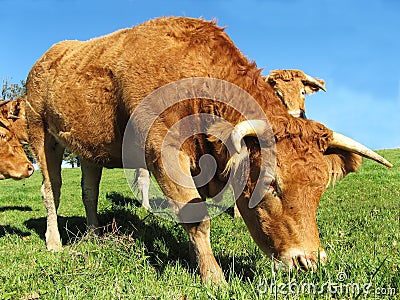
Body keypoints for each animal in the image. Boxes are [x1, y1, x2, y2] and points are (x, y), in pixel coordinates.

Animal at [26, 17, 392, 284]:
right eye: (271, 184)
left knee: (88, 191)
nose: (308, 261)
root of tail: (49, 55)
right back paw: (55, 242)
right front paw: (214, 278)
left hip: (89, 150)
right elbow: (197, 218)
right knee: (51, 190)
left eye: (320, 189)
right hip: (40, 134)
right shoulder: (164, 153)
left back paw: (93, 235)